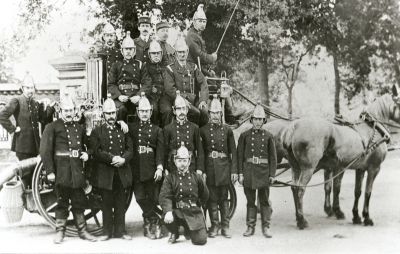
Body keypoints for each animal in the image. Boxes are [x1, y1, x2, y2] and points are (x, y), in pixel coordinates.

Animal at [280, 93, 400, 228]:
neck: (372, 129)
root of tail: (294, 126)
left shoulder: (359, 169)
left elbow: (357, 191)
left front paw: (356, 216)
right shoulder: (373, 168)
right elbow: (367, 192)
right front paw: (367, 218)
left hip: (295, 167)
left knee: (294, 188)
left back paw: (298, 217)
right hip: (308, 168)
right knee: (300, 189)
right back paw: (302, 220)